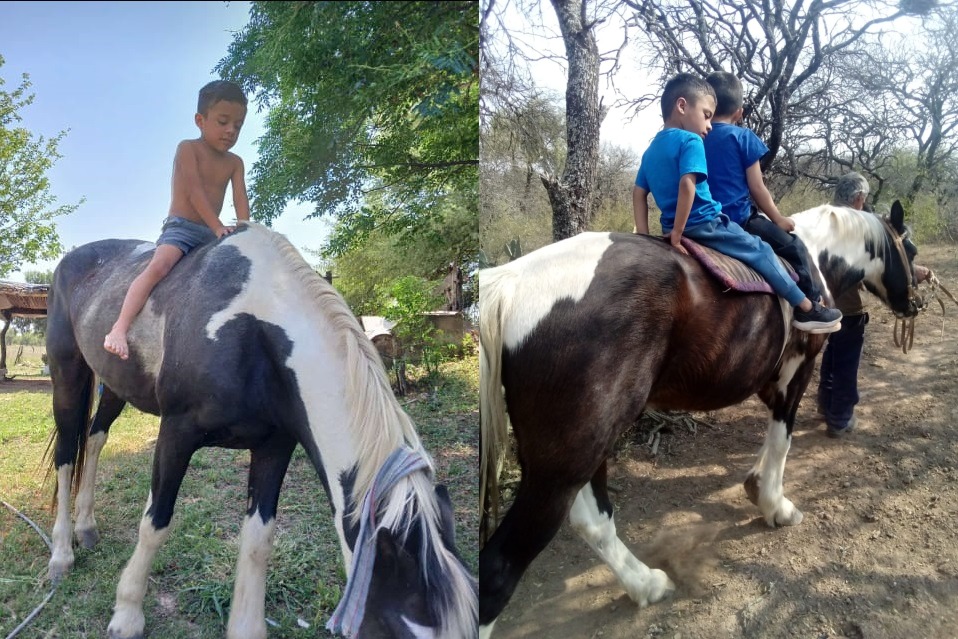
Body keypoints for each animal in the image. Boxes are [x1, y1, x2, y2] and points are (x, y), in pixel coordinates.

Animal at [43, 222, 477, 639]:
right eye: (397, 629)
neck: (252, 329)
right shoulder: (176, 434)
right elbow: (155, 522)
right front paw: (127, 615)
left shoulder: (275, 447)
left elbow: (258, 540)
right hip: (67, 373)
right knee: (67, 453)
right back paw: (62, 553)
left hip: (114, 385)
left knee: (95, 439)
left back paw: (87, 527)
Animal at [478, 201, 921, 637]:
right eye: (911, 250)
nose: (915, 304)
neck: (812, 255)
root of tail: (512, 282)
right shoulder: (798, 369)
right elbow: (782, 438)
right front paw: (774, 504)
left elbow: (771, 437)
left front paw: (755, 485)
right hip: (569, 459)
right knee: (500, 568)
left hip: (581, 449)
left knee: (592, 521)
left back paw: (647, 584)